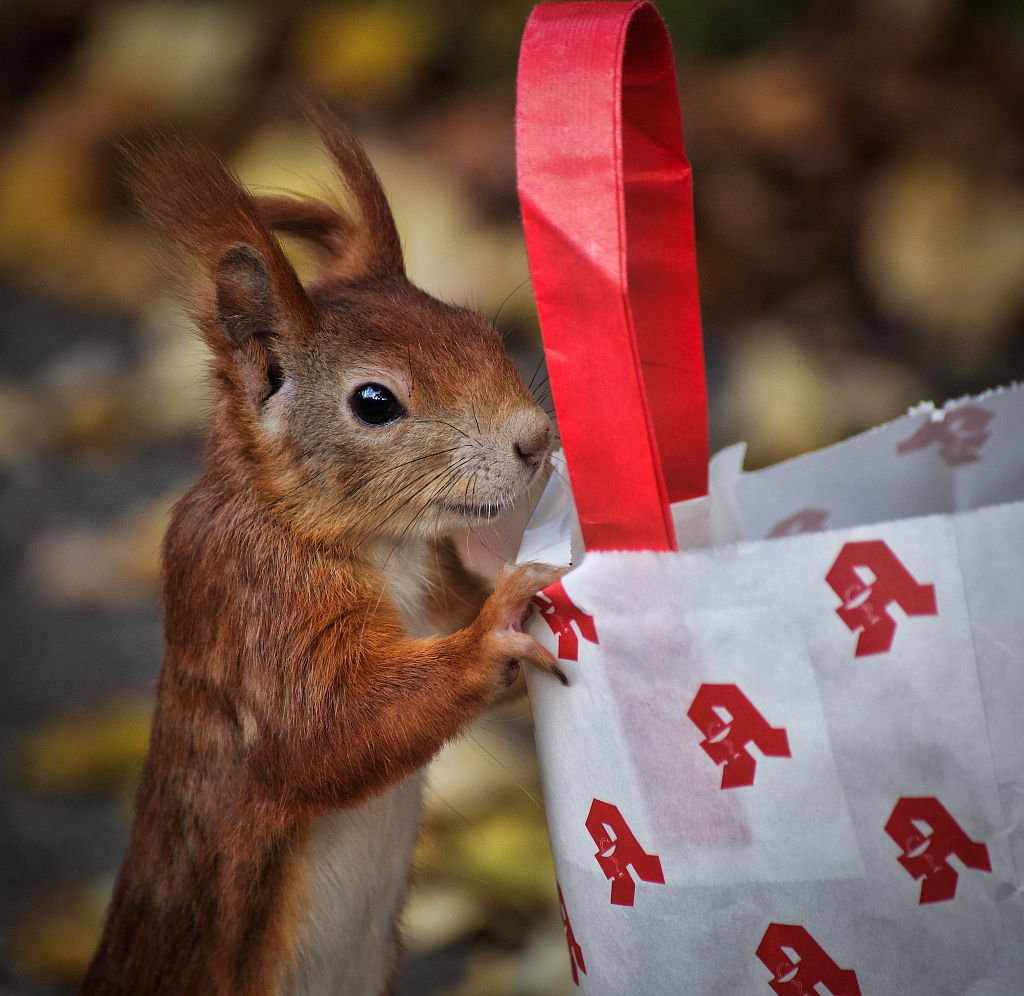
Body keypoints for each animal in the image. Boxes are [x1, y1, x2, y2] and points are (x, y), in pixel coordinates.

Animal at [82, 102, 565, 994]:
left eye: (481, 330)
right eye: (374, 402)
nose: (534, 439)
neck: (380, 546)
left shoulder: (435, 581)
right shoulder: (254, 601)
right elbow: (321, 730)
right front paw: (495, 634)